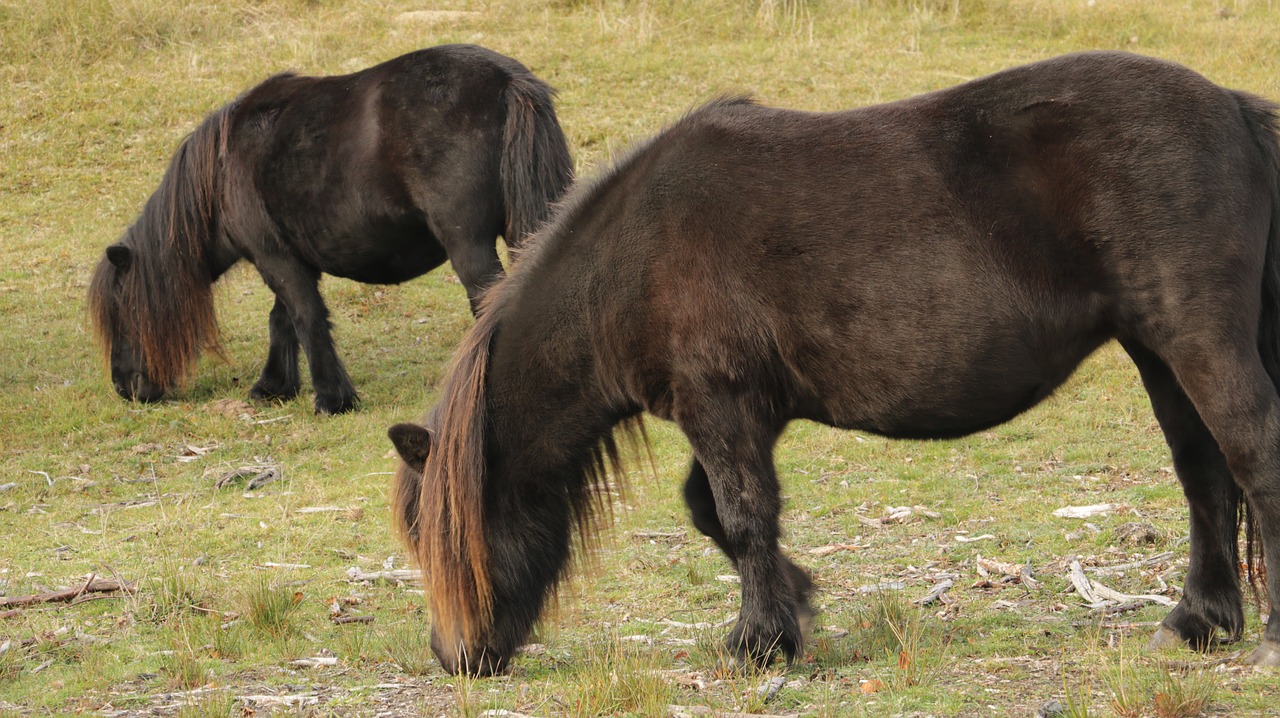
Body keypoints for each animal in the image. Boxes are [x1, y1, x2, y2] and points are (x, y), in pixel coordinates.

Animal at [88, 44, 570, 412]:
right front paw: (274, 387)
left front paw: (331, 399)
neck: (222, 170)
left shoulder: (274, 257)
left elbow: (306, 318)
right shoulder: (293, 258)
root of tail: (506, 80)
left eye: (122, 312)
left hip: (468, 246)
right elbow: (282, 319)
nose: (124, 388)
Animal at [384, 53, 1280, 675]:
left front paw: (758, 642)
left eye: (448, 539)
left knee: (1251, 455)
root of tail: (1231, 110)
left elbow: (742, 516)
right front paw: (797, 607)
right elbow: (714, 513)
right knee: (1203, 474)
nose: (455, 659)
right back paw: (1198, 621)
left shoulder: (720, 407)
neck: (632, 257)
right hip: (1156, 351)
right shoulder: (742, 414)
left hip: (1196, 340)